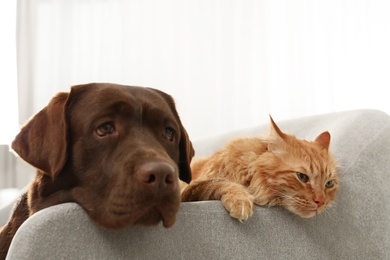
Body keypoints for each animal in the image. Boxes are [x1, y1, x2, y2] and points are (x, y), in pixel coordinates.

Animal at [182, 117, 338, 220]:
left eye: (329, 183)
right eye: (302, 177)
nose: (321, 202)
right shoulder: (188, 190)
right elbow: (219, 182)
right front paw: (240, 201)